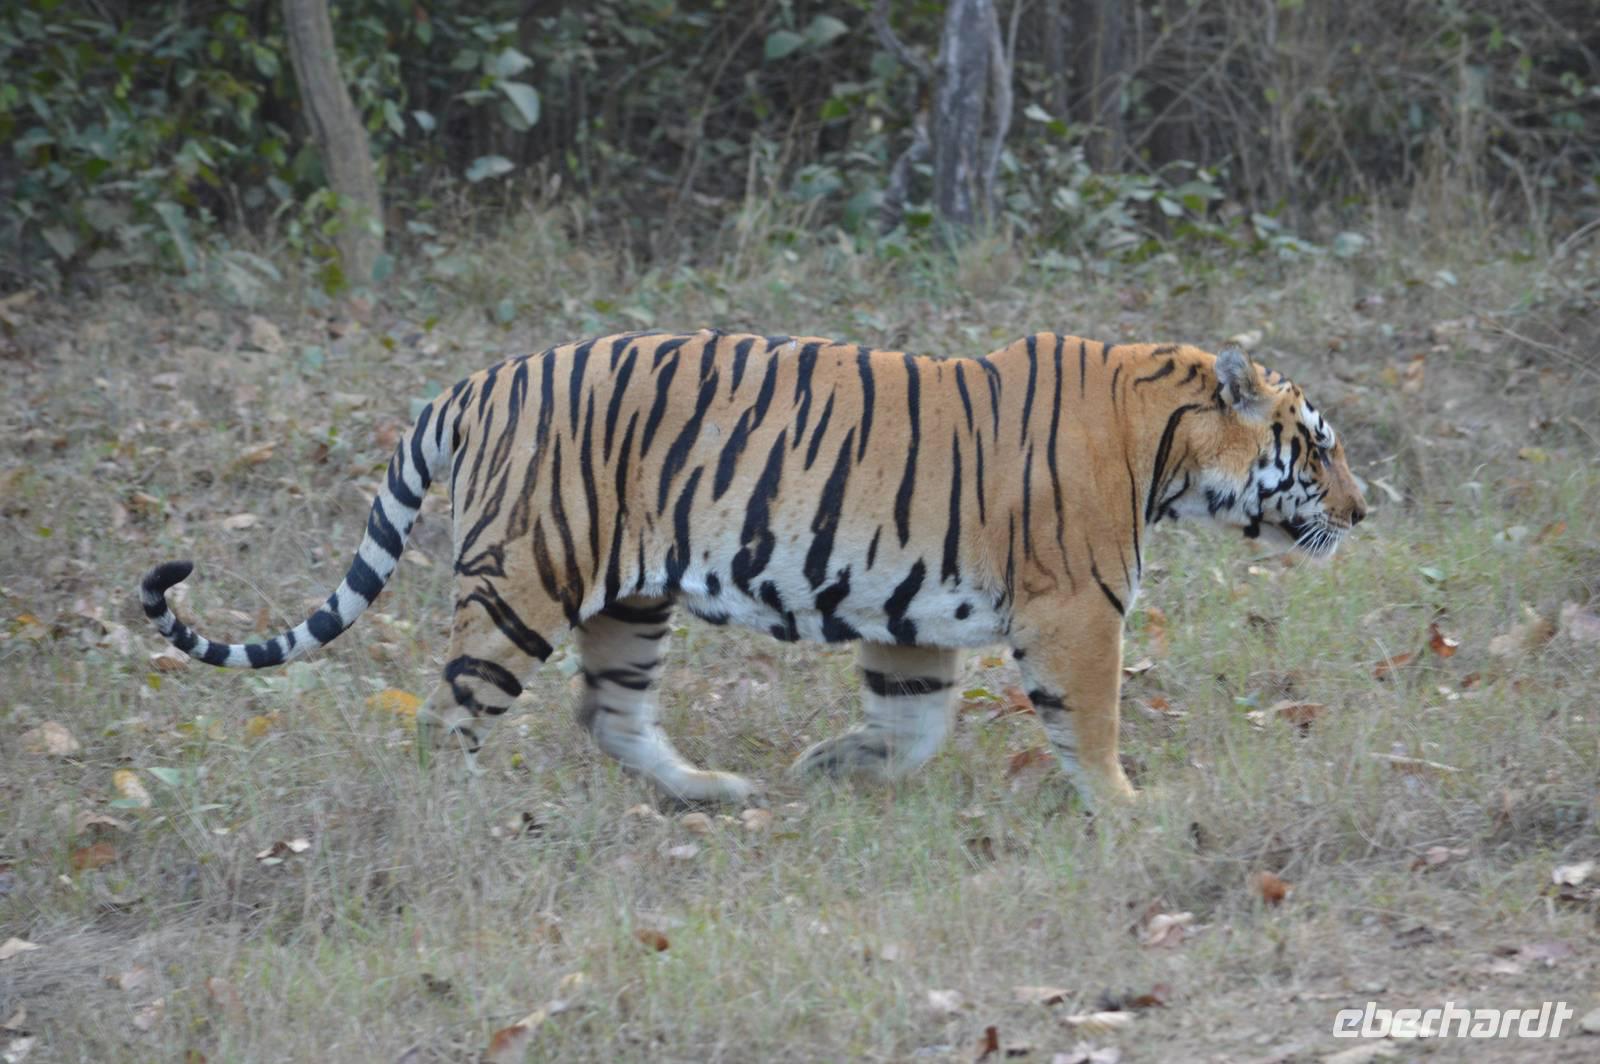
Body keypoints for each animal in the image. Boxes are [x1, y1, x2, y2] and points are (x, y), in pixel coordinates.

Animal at [141, 329, 1366, 808]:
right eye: (1319, 444)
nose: (1370, 508)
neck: (1165, 444)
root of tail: (475, 382)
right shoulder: (1078, 610)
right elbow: (1095, 721)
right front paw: (1130, 808)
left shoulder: (915, 615)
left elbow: (914, 724)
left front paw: (836, 766)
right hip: (522, 579)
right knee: (457, 714)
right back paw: (472, 818)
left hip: (633, 599)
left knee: (608, 712)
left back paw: (712, 791)